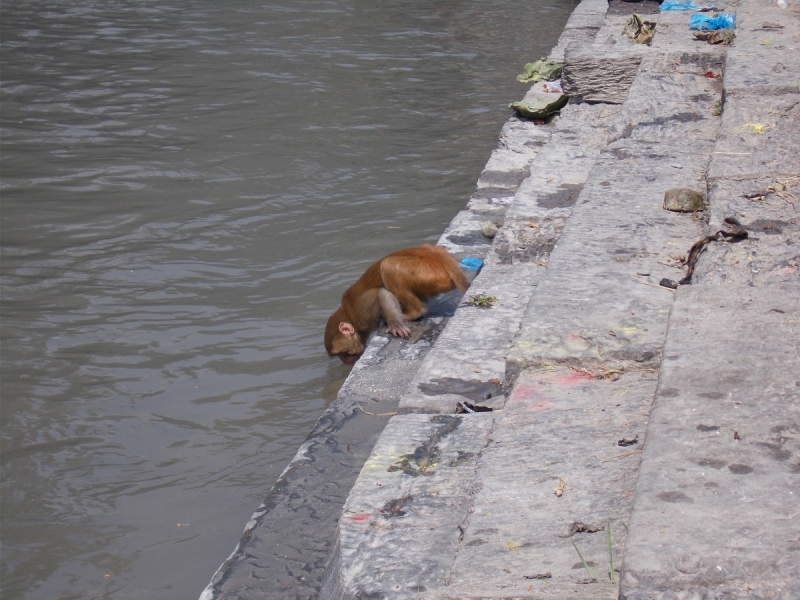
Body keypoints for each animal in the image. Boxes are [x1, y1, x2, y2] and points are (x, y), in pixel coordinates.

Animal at [326, 243, 468, 364]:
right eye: (340, 355)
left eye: (344, 354)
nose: (346, 361)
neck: (348, 314)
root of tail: (440, 257)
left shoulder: (363, 312)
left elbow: (383, 294)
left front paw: (395, 325)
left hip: (428, 274)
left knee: (388, 265)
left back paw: (413, 313)